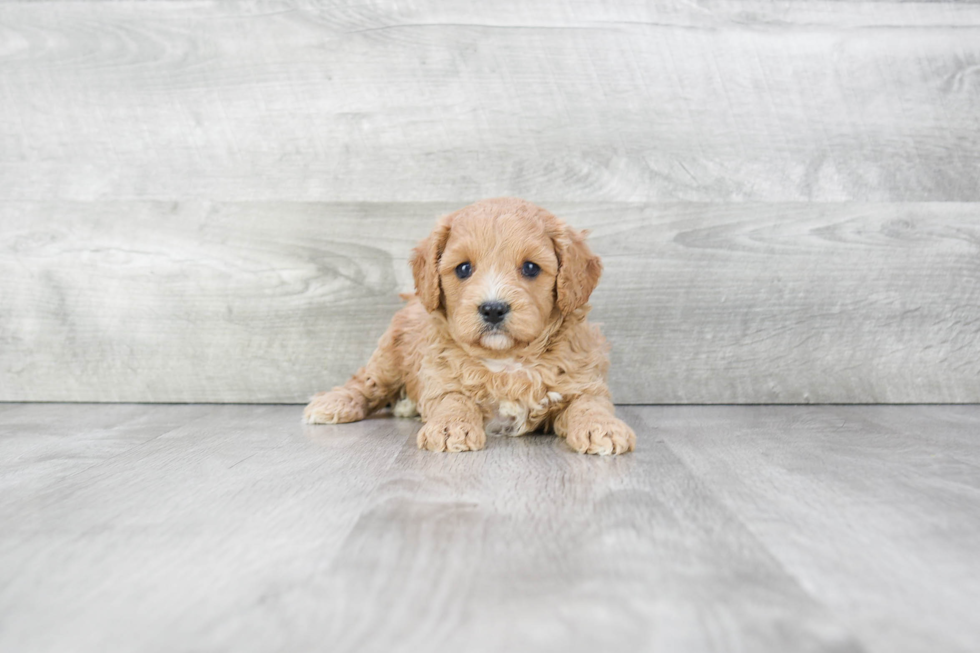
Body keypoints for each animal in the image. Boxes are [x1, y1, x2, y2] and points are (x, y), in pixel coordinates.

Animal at [304, 196, 636, 456]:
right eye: (464, 268)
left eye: (531, 268)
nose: (493, 308)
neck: (506, 361)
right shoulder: (442, 378)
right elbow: (453, 399)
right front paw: (450, 428)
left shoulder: (582, 380)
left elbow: (590, 403)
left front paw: (603, 428)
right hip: (389, 356)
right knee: (366, 382)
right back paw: (334, 403)